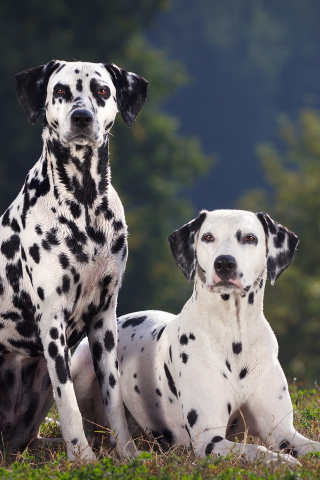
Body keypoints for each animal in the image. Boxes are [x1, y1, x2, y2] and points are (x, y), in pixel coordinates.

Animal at [0, 61, 148, 462]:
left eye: (102, 91)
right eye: (61, 91)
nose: (81, 117)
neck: (84, 202)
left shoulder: (104, 318)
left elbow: (113, 400)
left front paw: (127, 454)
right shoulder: (53, 323)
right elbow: (69, 404)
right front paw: (83, 458)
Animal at [72, 210, 320, 464]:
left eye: (250, 238)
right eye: (208, 237)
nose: (224, 263)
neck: (234, 336)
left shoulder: (282, 431)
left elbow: (310, 445)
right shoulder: (208, 440)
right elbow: (255, 449)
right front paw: (283, 461)